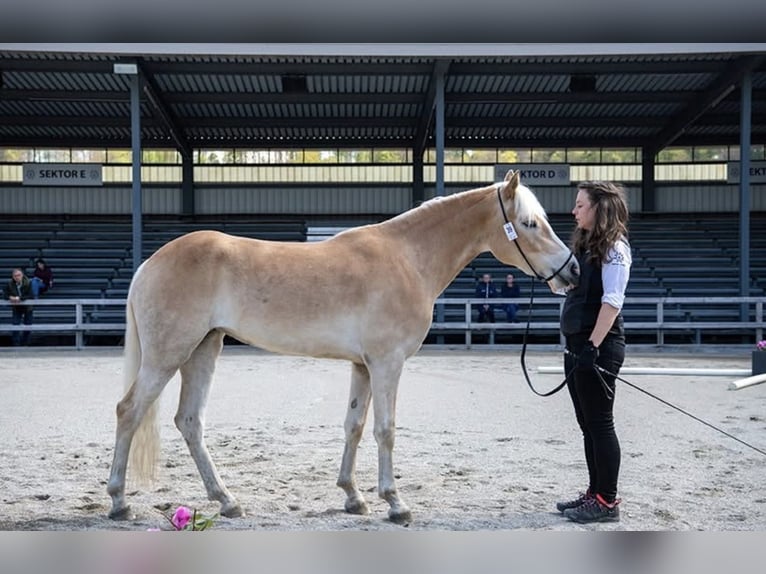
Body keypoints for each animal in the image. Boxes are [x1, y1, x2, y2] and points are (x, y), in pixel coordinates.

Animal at [106, 169, 580, 524]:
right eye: (530, 223)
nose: (572, 270)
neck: (408, 258)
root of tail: (150, 262)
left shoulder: (363, 366)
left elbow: (354, 425)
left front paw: (353, 497)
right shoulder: (387, 363)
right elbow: (385, 430)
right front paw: (395, 503)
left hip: (204, 350)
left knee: (190, 421)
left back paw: (227, 501)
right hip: (169, 355)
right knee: (129, 411)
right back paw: (119, 502)